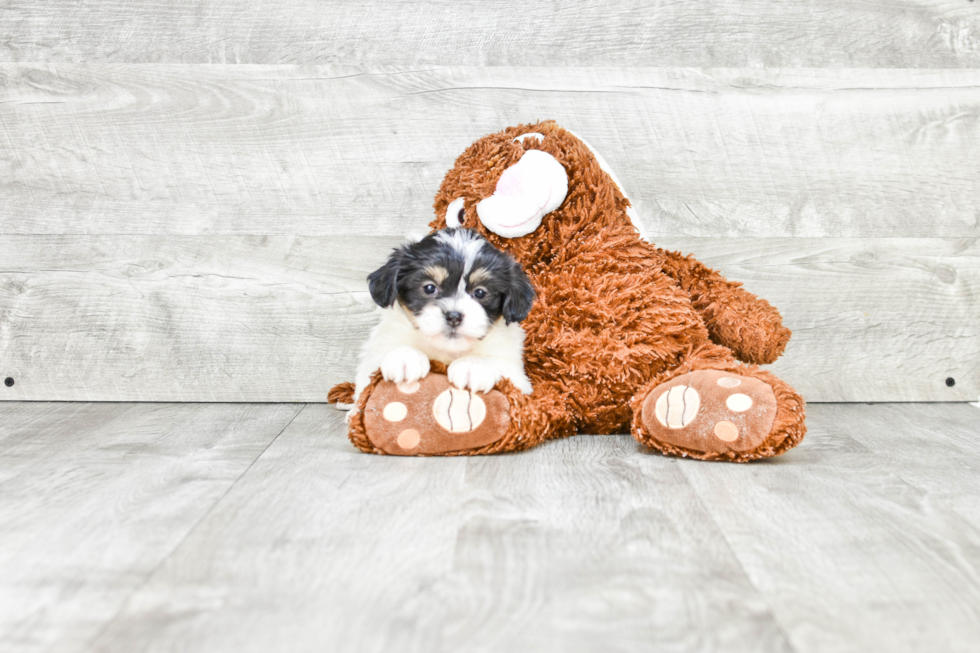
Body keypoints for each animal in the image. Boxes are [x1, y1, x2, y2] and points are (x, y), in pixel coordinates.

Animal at [350, 227, 536, 404]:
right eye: (429, 288)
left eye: (480, 292)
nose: (454, 316)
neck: (447, 350)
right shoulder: (375, 355)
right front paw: (406, 356)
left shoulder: (516, 373)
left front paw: (474, 365)